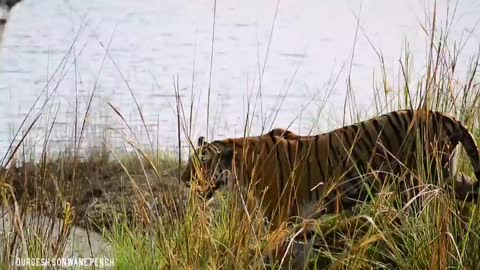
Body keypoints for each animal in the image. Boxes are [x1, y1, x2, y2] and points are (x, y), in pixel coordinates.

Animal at [181, 109, 480, 226]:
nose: (184, 179)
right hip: (446, 176)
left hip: (419, 180)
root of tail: (445, 116)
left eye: (197, 166)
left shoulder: (279, 215)